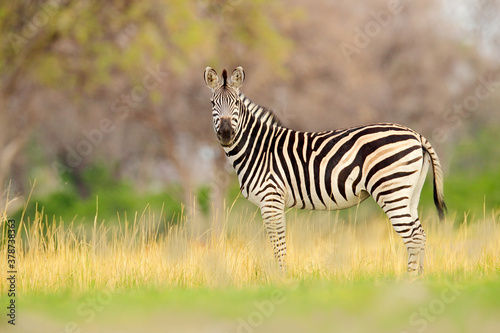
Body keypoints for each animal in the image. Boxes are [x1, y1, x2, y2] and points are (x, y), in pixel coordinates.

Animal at [203, 66, 446, 274]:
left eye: (235, 103)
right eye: (213, 103)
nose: (226, 133)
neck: (259, 148)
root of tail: (416, 134)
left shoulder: (271, 199)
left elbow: (278, 244)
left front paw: (282, 279)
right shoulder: (272, 201)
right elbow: (278, 243)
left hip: (391, 190)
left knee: (413, 237)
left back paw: (410, 281)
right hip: (409, 193)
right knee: (420, 234)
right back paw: (419, 279)